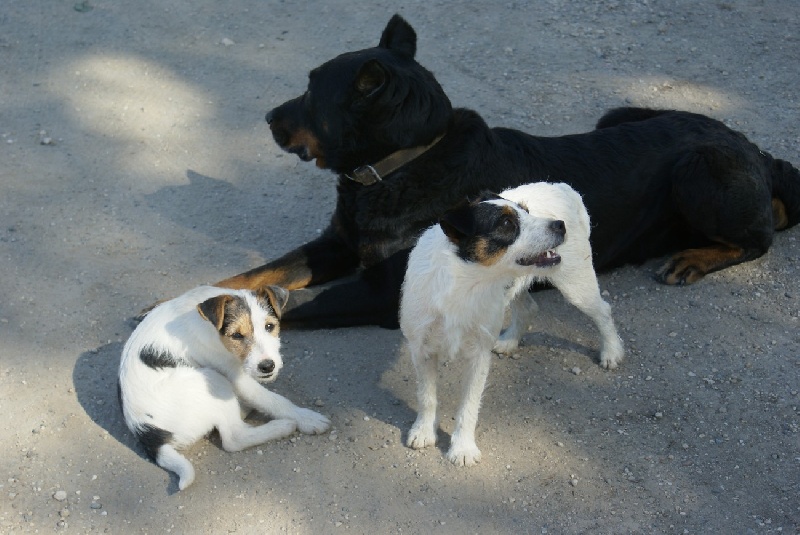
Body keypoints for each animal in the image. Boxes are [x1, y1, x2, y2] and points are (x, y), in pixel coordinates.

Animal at [119, 285, 330, 490]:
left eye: (269, 326)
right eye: (236, 335)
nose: (267, 366)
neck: (211, 328)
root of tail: (149, 436)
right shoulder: (236, 376)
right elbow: (275, 400)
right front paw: (307, 418)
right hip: (213, 380)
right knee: (234, 438)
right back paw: (281, 426)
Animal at [212, 14, 800, 329]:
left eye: (313, 91)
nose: (268, 117)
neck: (404, 164)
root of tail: (756, 150)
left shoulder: (388, 289)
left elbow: (295, 303)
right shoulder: (337, 242)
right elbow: (257, 273)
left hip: (698, 170)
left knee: (761, 236)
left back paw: (694, 257)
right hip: (620, 113)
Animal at [400, 182, 623, 466]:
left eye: (526, 211)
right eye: (507, 223)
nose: (559, 225)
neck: (464, 283)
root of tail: (564, 188)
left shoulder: (478, 356)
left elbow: (468, 405)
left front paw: (462, 448)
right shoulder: (422, 350)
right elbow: (426, 396)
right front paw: (423, 431)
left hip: (577, 284)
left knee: (603, 311)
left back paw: (611, 351)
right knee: (528, 308)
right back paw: (509, 342)